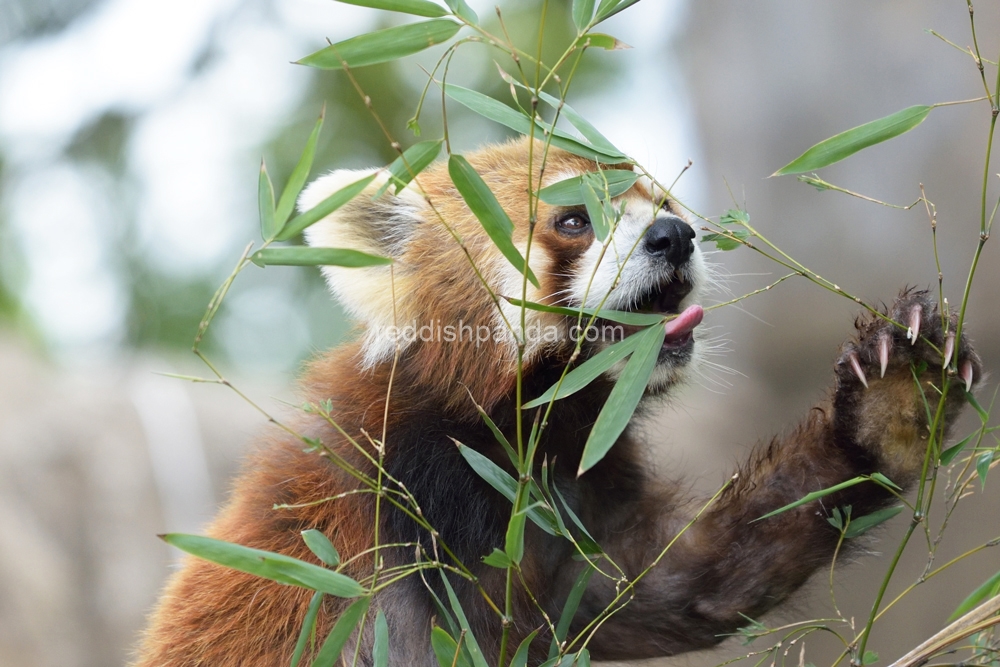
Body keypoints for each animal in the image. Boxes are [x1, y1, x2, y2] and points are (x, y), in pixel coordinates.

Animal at [135, 137, 984, 667]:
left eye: (665, 200)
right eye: (574, 220)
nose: (676, 236)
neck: (524, 436)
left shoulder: (572, 503)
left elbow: (682, 584)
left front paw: (894, 402)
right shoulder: (402, 502)